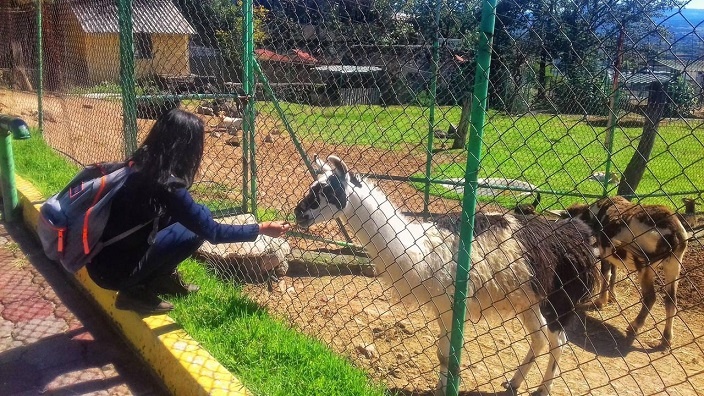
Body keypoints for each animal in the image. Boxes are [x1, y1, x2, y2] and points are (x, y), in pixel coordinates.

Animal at [568, 196, 688, 344]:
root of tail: (674, 235)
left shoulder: (604, 250)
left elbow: (606, 275)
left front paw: (600, 302)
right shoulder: (612, 253)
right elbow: (613, 275)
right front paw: (612, 297)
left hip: (645, 266)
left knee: (650, 298)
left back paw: (634, 326)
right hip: (674, 264)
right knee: (671, 300)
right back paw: (667, 337)